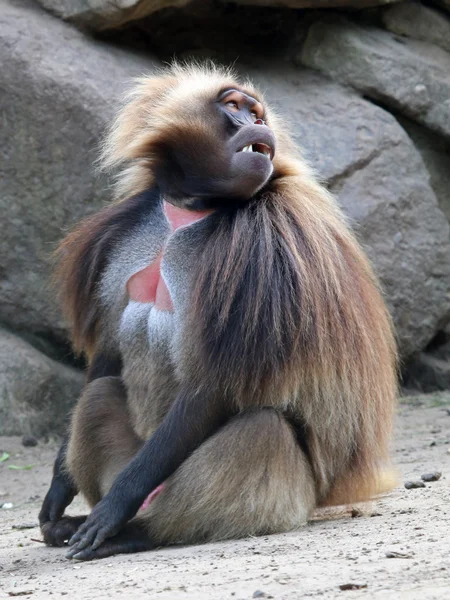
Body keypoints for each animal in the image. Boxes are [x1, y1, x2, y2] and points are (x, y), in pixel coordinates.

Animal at [38, 63, 398, 560]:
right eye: (234, 107)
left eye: (256, 112)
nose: (258, 125)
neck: (193, 208)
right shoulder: (125, 239)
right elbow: (109, 355)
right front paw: (57, 492)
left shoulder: (268, 244)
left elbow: (217, 384)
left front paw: (111, 511)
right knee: (96, 397)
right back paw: (74, 522)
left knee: (262, 430)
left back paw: (136, 531)